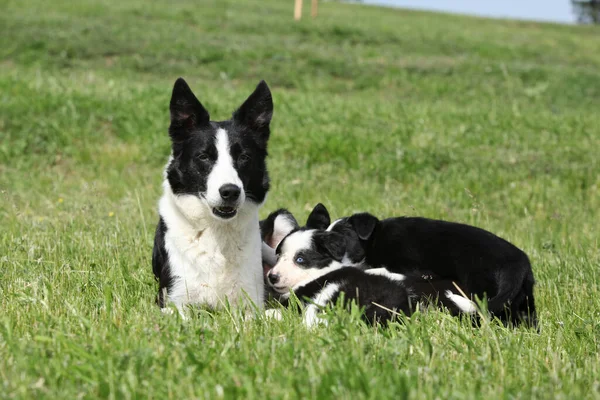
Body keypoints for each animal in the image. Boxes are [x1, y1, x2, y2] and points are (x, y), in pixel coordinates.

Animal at [151, 78, 274, 316]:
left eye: (244, 157)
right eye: (204, 156)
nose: (230, 192)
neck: (216, 232)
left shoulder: (252, 303)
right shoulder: (172, 302)